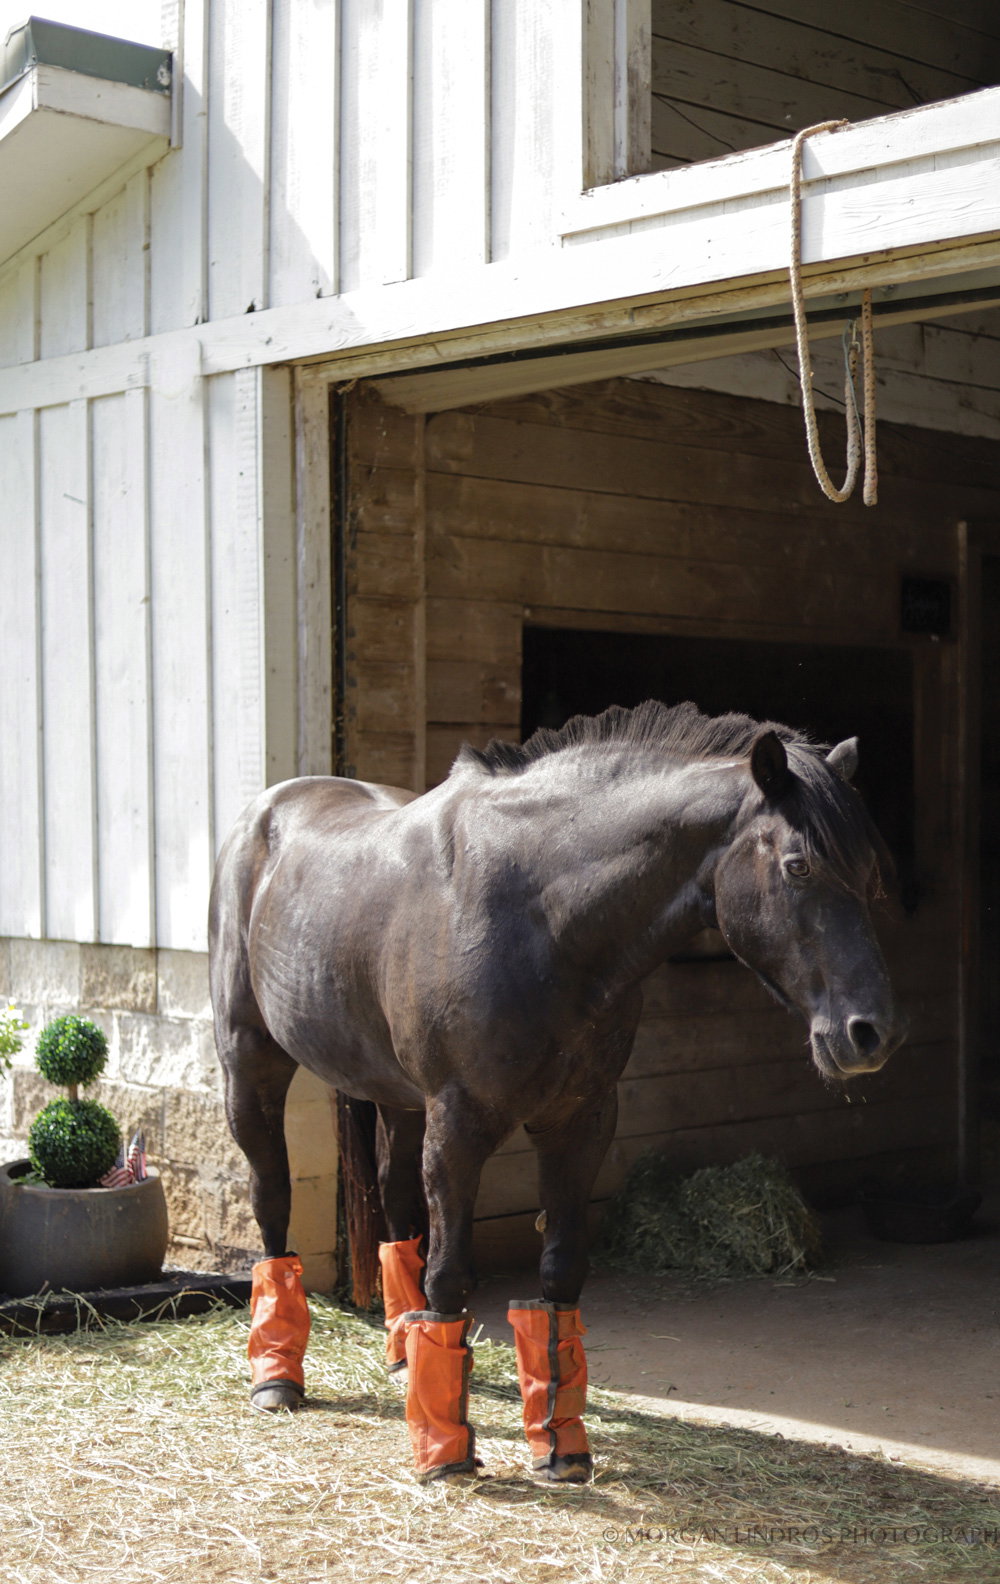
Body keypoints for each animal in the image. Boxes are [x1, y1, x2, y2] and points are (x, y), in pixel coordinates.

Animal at [208, 699, 903, 1482]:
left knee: (395, 1208)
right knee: (272, 1202)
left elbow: (559, 1274)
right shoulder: (460, 1125)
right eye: (798, 865)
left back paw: (402, 1352)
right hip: (251, 1064)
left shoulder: (581, 1121)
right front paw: (445, 1452)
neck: (540, 920)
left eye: (871, 872)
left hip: (396, 1097)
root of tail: (267, 808)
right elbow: (452, 1276)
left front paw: (560, 1446)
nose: (871, 1034)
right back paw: (276, 1377)